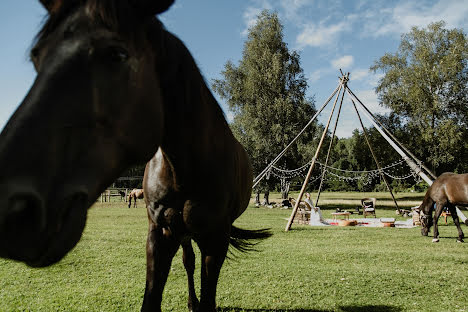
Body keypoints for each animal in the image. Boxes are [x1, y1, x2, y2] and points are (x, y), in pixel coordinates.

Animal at [0, 1, 270, 310]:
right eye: (36, 57)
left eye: (117, 54)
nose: (12, 210)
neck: (185, 168)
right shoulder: (160, 235)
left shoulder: (215, 240)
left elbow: (209, 295)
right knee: (189, 261)